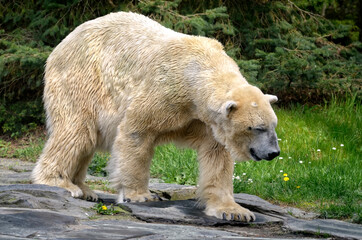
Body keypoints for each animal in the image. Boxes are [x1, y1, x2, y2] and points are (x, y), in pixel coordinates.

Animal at [31, 10, 280, 221]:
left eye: (273, 125)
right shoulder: (164, 92)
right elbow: (137, 131)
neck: (196, 72)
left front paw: (235, 211)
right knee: (77, 131)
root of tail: (63, 42)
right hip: (81, 80)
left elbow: (217, 156)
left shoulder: (205, 119)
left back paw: (85, 189)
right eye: (256, 128)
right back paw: (61, 183)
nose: (274, 153)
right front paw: (141, 195)